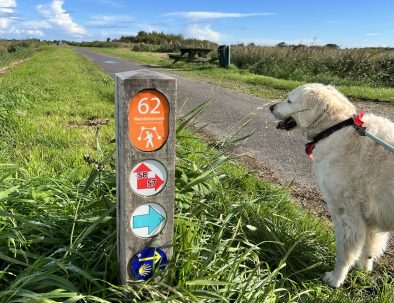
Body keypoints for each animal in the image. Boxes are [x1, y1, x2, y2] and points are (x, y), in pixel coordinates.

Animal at [270, 83, 394, 288]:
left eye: (289, 100)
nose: (271, 107)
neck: (334, 129)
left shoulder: (346, 213)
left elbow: (345, 252)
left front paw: (335, 279)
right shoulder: (369, 219)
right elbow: (369, 247)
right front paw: (363, 269)